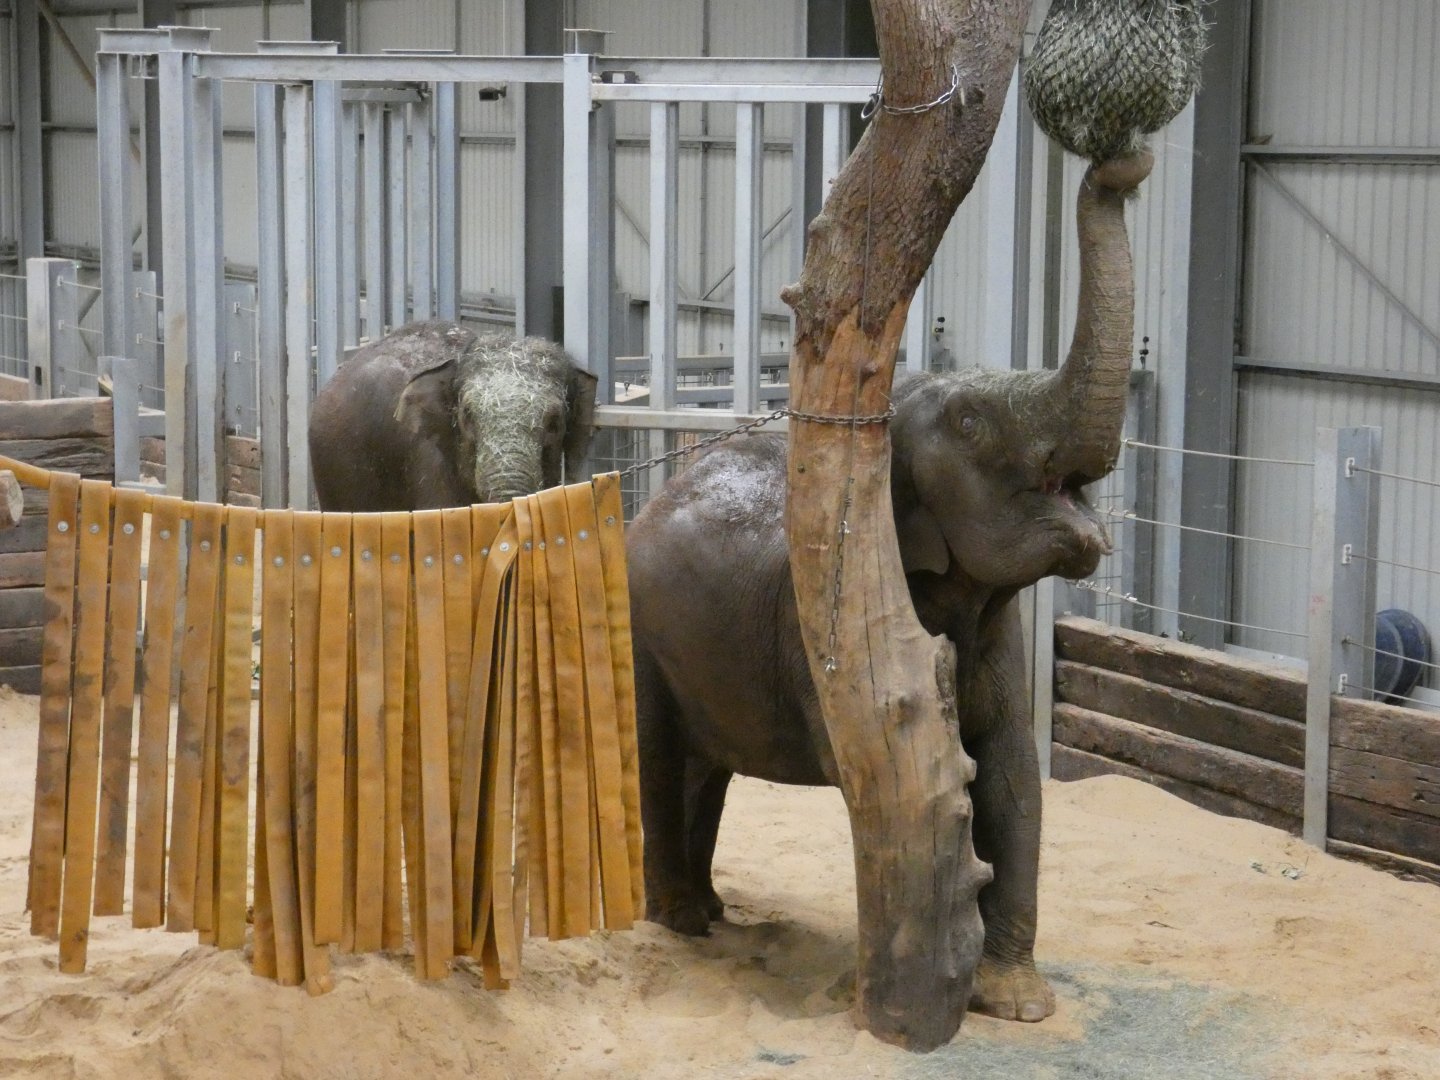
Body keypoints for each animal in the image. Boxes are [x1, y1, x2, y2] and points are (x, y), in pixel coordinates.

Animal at [625, 152, 1153, 1026]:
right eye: (971, 425)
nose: (1121, 167)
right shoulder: (821, 624)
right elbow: (885, 776)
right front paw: (884, 993)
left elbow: (1013, 776)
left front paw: (1016, 1003)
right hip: (640, 639)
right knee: (660, 761)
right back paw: (677, 923)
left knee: (708, 770)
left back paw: (709, 913)